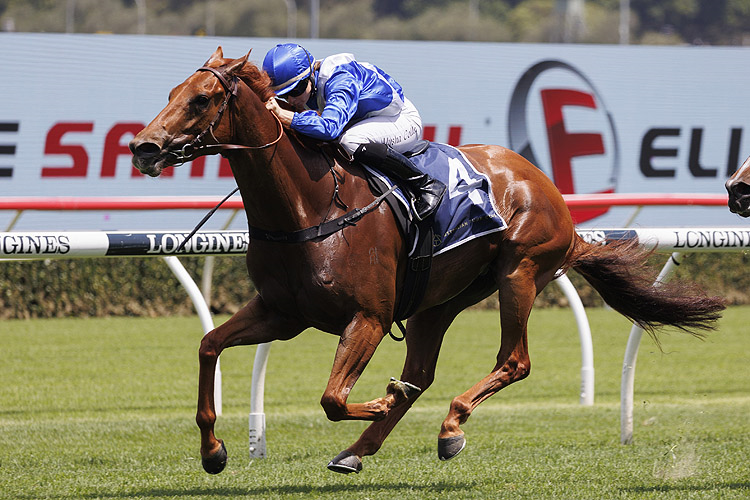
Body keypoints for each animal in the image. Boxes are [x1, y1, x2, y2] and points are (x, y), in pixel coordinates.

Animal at [132, 48, 724, 474]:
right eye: (171, 92)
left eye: (203, 98)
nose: (143, 147)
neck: (310, 206)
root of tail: (553, 197)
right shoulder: (282, 313)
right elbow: (209, 345)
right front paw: (213, 451)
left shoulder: (368, 317)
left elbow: (332, 397)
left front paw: (375, 399)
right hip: (438, 300)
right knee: (420, 372)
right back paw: (360, 448)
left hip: (520, 271)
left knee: (513, 360)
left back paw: (449, 426)